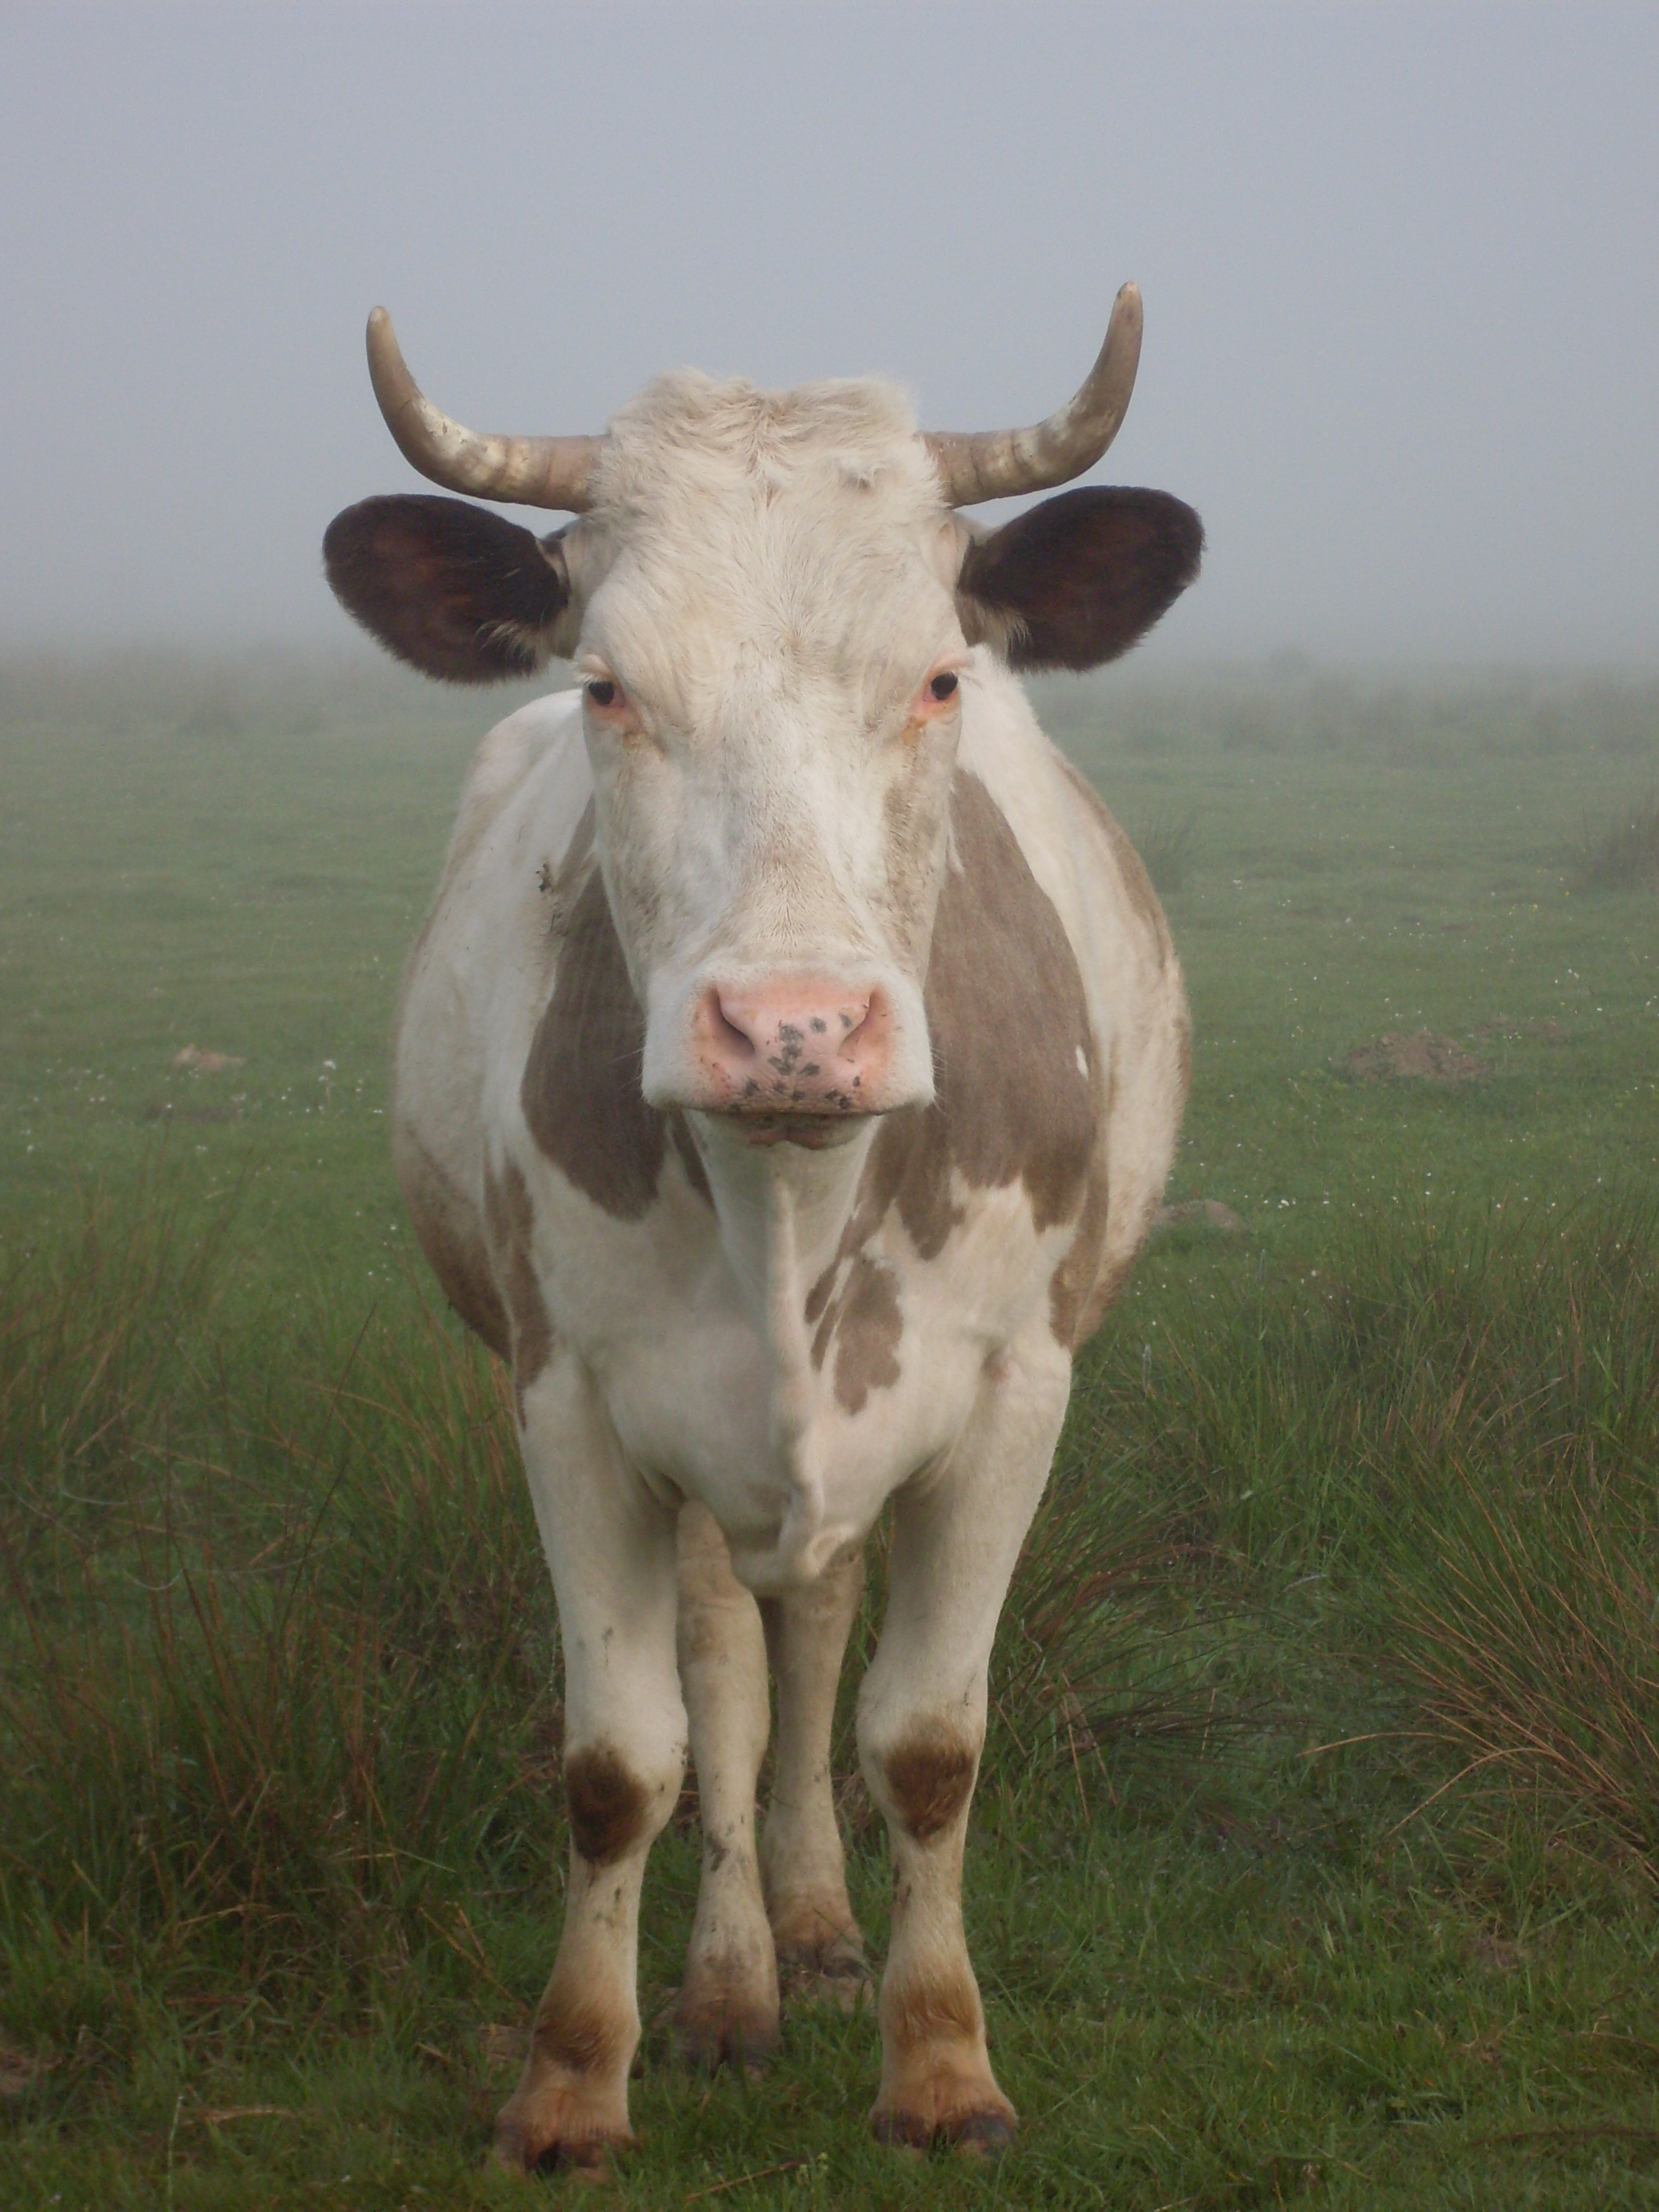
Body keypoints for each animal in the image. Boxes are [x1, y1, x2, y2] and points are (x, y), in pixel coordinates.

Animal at [323, 284, 1200, 2175]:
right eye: (606, 684)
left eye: (940, 675)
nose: (794, 1029)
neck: (789, 1197)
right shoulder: (568, 1398)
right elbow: (622, 1760)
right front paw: (574, 2076)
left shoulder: (1012, 1392)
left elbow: (924, 1742)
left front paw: (939, 2063)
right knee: (735, 1659)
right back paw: (733, 1975)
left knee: (808, 1637)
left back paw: (811, 1921)